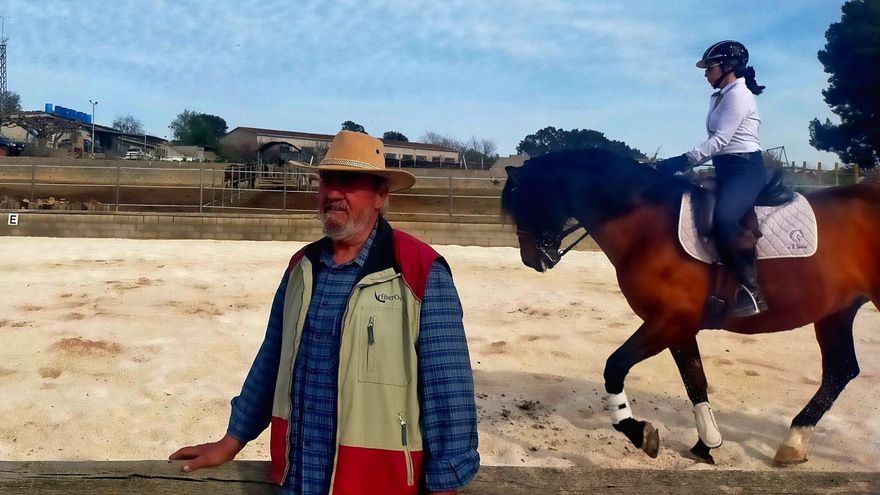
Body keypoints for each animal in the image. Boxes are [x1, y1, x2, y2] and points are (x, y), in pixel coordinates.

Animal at [501, 148, 880, 464]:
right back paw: (793, 443)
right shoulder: (677, 326)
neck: (647, 225)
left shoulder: (670, 320)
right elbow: (695, 380)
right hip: (836, 311)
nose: (530, 260)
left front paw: (639, 433)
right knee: (840, 371)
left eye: (525, 203)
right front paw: (707, 444)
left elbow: (615, 367)